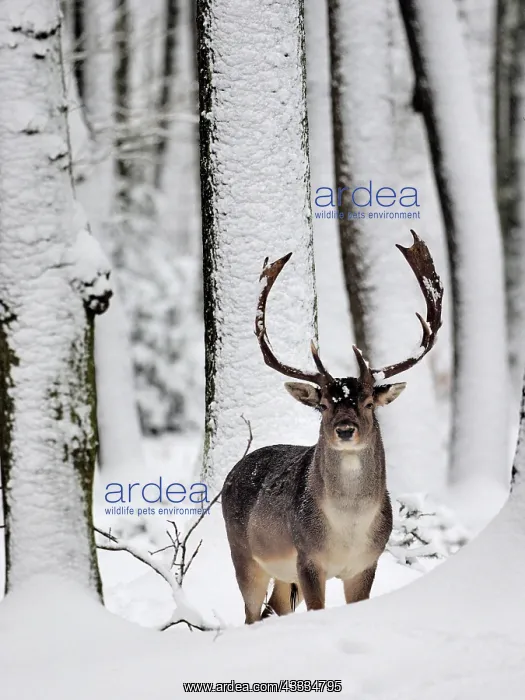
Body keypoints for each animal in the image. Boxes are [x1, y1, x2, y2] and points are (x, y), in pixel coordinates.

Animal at [221, 230, 443, 624]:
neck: (349, 530)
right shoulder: (307, 557)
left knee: (277, 606)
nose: (344, 430)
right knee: (251, 613)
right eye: (323, 405)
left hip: (281, 573)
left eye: (369, 402)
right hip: (243, 553)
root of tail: (230, 474)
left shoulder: (366, 563)